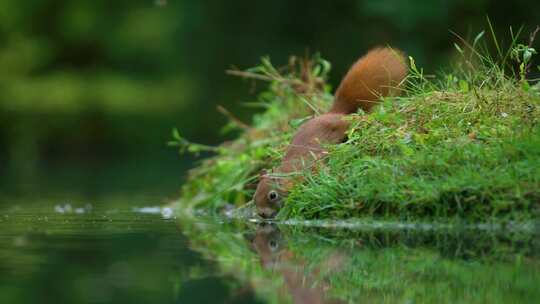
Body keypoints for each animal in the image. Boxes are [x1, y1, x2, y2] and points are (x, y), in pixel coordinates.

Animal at [255, 47, 408, 217]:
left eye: (272, 195)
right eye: (254, 195)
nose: (262, 214)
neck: (291, 171)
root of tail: (335, 113)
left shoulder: (312, 166)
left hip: (345, 125)